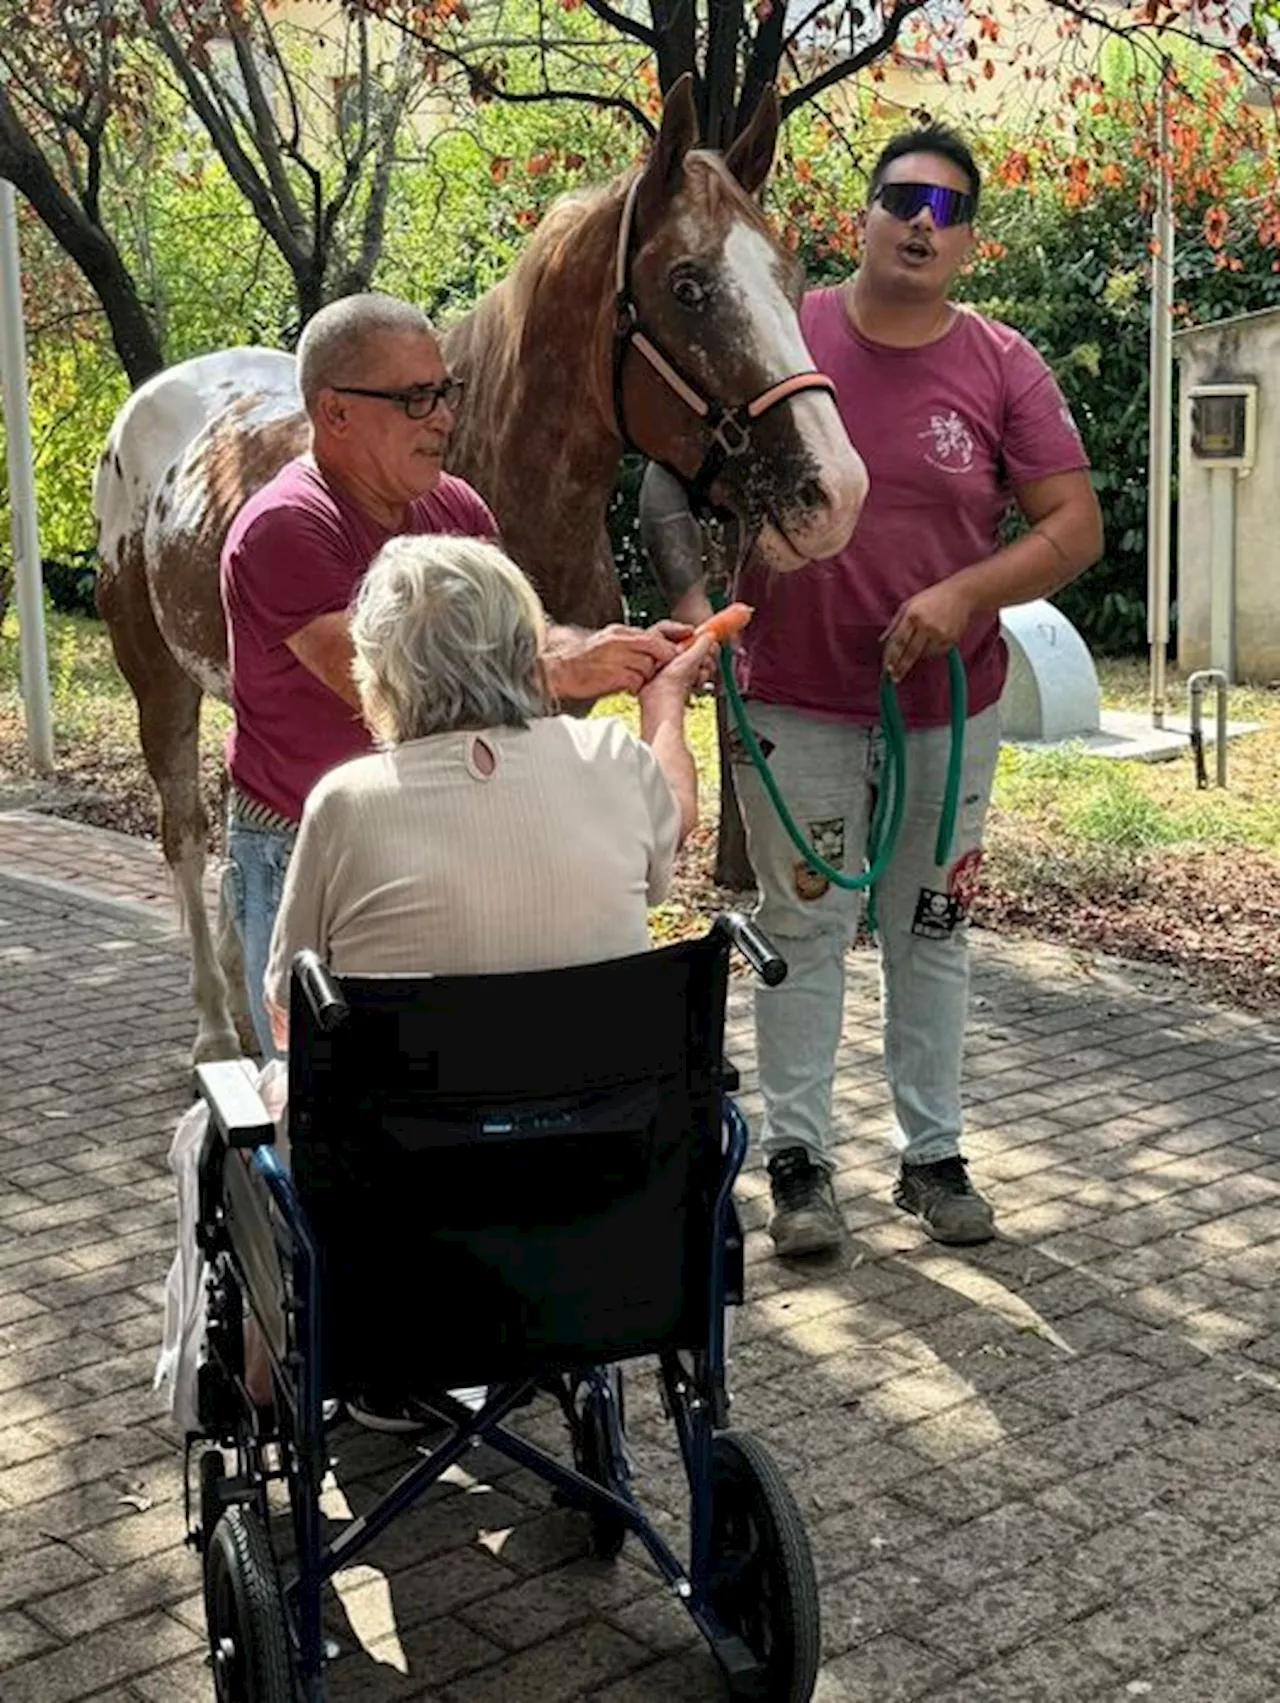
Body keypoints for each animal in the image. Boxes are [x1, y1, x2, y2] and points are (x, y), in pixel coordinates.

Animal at [92, 80, 871, 1062]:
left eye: (792, 278)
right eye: (688, 286)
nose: (835, 490)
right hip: (155, 678)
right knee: (188, 833)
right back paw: (213, 1030)